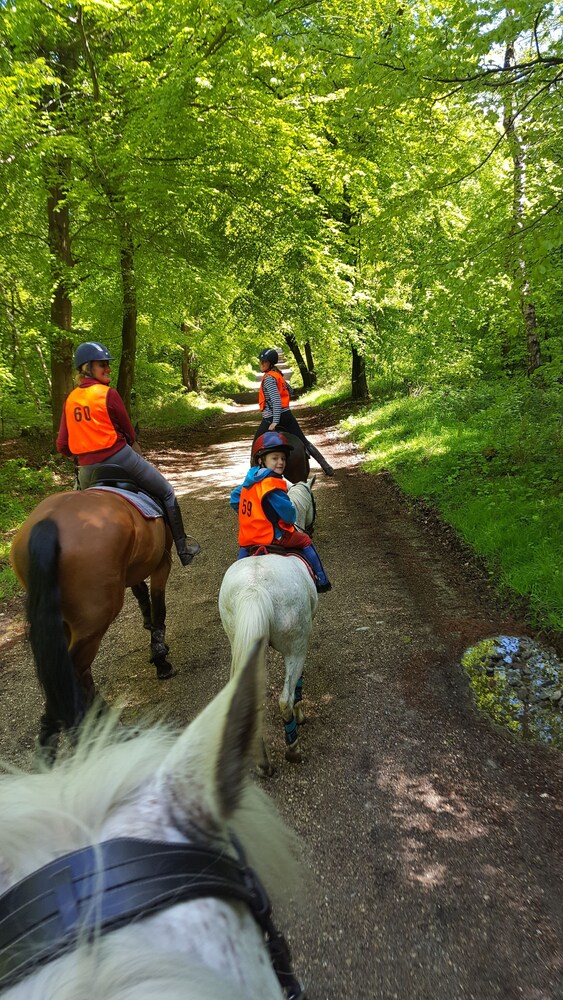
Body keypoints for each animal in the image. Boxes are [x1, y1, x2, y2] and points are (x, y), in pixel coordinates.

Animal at [9, 488, 174, 752]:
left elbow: (141, 591)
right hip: (94, 621)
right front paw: (161, 660)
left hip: (65, 620)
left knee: (73, 671)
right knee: (71, 672)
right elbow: (159, 605)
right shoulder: (162, 561)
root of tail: (49, 523)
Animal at [219, 476, 318, 772]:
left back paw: (263, 762)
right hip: (296, 646)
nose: (310, 528)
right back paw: (292, 747)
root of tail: (254, 588)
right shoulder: (300, 645)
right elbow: (295, 688)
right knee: (284, 698)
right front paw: (300, 714)